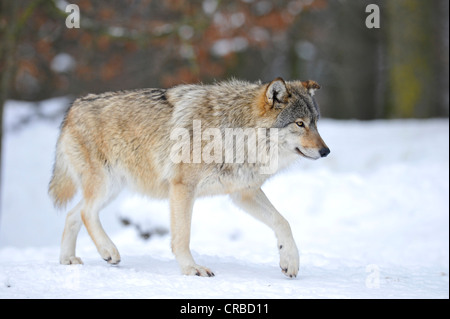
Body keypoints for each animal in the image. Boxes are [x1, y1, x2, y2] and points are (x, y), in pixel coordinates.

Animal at [48, 77, 330, 278]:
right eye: (299, 123)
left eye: (316, 122)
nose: (326, 151)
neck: (234, 132)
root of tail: (73, 107)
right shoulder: (183, 188)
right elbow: (182, 237)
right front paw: (191, 269)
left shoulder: (243, 193)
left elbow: (283, 222)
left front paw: (289, 261)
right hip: (105, 185)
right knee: (85, 213)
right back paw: (108, 251)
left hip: (113, 189)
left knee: (73, 213)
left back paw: (68, 259)